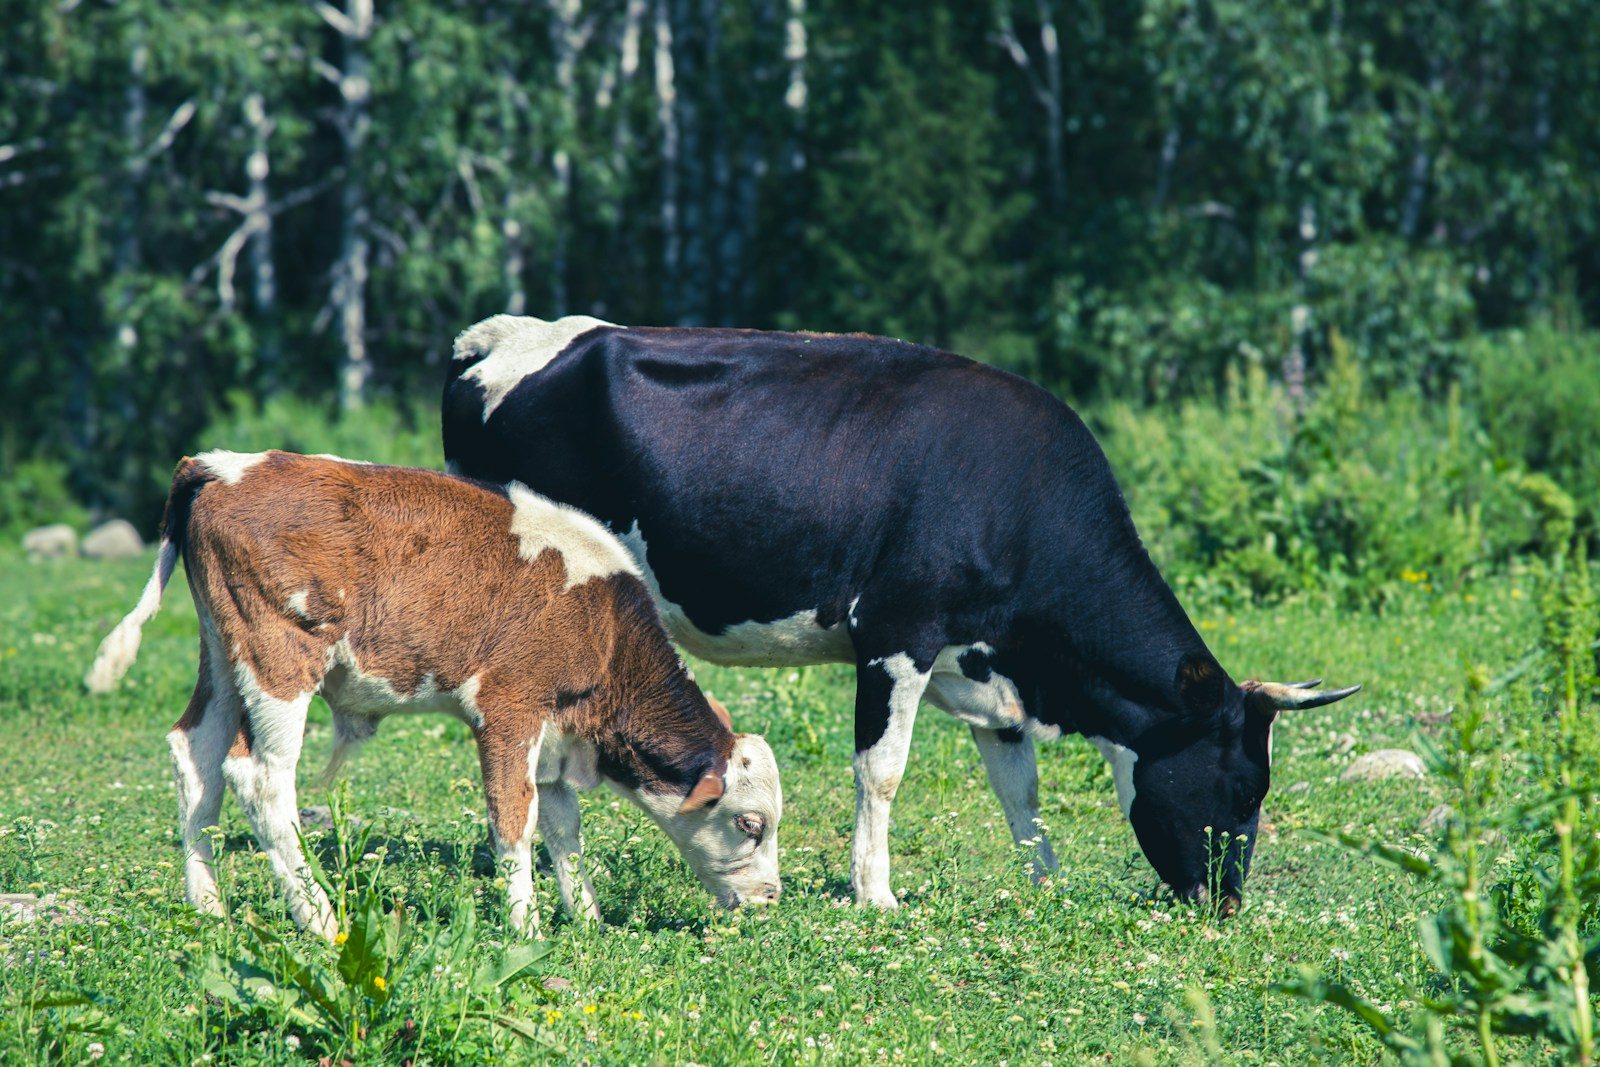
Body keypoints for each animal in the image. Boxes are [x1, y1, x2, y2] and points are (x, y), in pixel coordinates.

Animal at [84, 450, 783, 939]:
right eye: (749, 822)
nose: (771, 898)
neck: (604, 627)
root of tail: (222, 465)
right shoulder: (508, 712)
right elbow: (515, 820)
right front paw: (526, 929)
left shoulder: (556, 738)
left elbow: (564, 829)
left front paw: (587, 921)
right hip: (280, 661)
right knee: (261, 780)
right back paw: (319, 920)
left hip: (222, 656)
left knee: (197, 757)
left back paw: (208, 908)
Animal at [441, 315, 1360, 914]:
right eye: (1243, 784)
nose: (1226, 902)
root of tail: (504, 336)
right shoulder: (895, 636)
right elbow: (880, 771)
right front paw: (874, 893)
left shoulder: (991, 674)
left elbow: (1021, 787)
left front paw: (1047, 883)